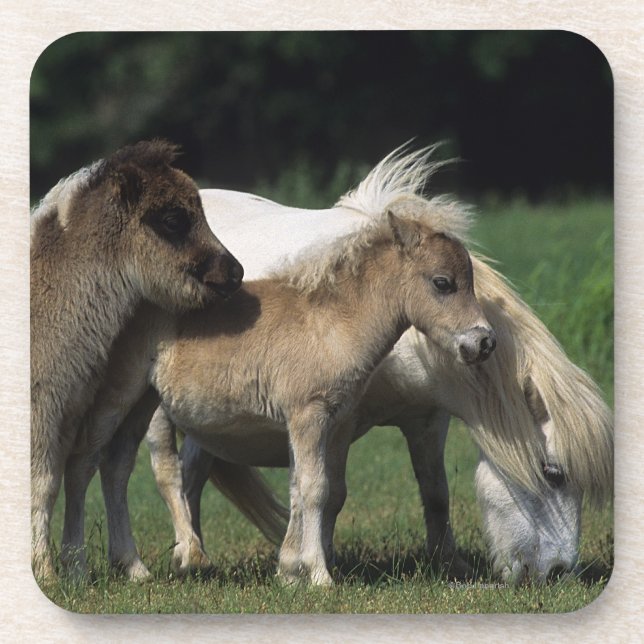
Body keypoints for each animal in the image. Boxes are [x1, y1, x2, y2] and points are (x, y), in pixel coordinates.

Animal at [30, 140, 243, 581]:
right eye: (173, 219)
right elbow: (43, 483)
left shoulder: (66, 410)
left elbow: (57, 478)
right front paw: (44, 572)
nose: (235, 272)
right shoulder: (43, 408)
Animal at [144, 147, 612, 583]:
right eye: (553, 473)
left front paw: (449, 563)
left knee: (192, 475)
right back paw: (189, 555)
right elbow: (326, 492)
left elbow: (434, 491)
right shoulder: (334, 419)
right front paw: (313, 565)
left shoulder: (427, 418)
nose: (558, 572)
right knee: (175, 473)